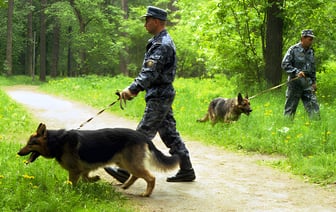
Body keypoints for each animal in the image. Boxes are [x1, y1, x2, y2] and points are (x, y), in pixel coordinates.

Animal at [17, 122, 180, 197]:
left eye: (30, 144)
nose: (18, 153)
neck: (56, 141)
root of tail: (142, 136)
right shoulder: (82, 169)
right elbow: (86, 178)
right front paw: (95, 179)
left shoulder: (74, 171)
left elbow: (73, 183)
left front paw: (69, 193)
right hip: (124, 162)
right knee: (136, 175)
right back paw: (125, 186)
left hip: (130, 163)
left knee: (150, 177)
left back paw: (146, 194)